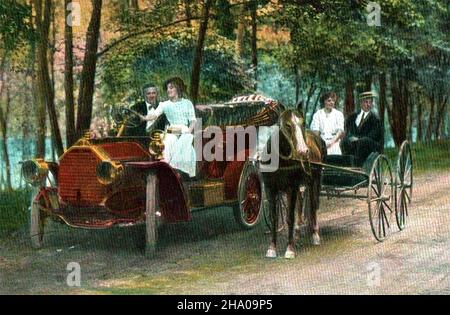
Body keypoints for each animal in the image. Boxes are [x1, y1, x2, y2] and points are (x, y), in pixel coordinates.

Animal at [260, 108, 326, 260]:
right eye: (287, 125)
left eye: (303, 123)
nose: (303, 151)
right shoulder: (270, 189)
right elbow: (274, 218)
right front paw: (272, 248)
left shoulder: (291, 188)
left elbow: (290, 217)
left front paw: (290, 249)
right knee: (301, 204)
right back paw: (297, 232)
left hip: (315, 181)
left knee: (313, 205)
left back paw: (315, 235)